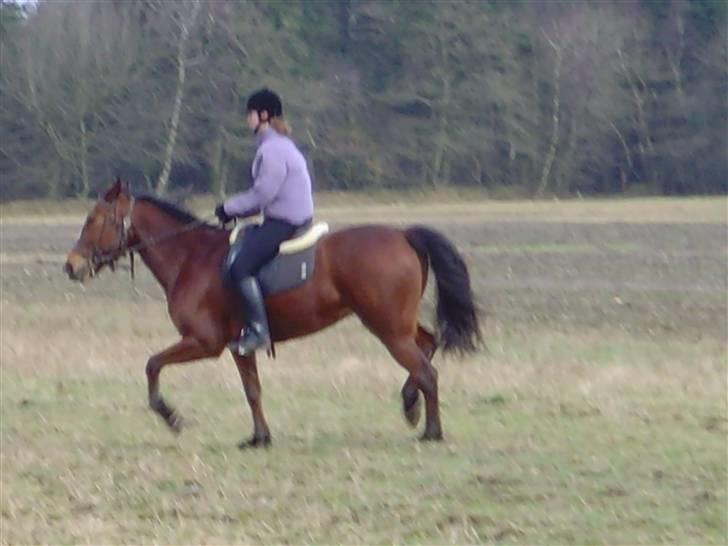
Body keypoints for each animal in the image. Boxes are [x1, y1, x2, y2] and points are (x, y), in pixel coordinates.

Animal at [64, 180, 484, 446]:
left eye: (93, 220)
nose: (71, 266)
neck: (190, 257)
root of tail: (403, 235)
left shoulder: (204, 342)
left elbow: (152, 364)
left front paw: (170, 415)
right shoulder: (239, 345)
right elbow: (253, 390)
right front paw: (259, 437)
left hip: (388, 329)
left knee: (427, 371)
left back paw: (431, 430)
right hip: (398, 325)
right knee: (428, 345)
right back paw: (410, 404)